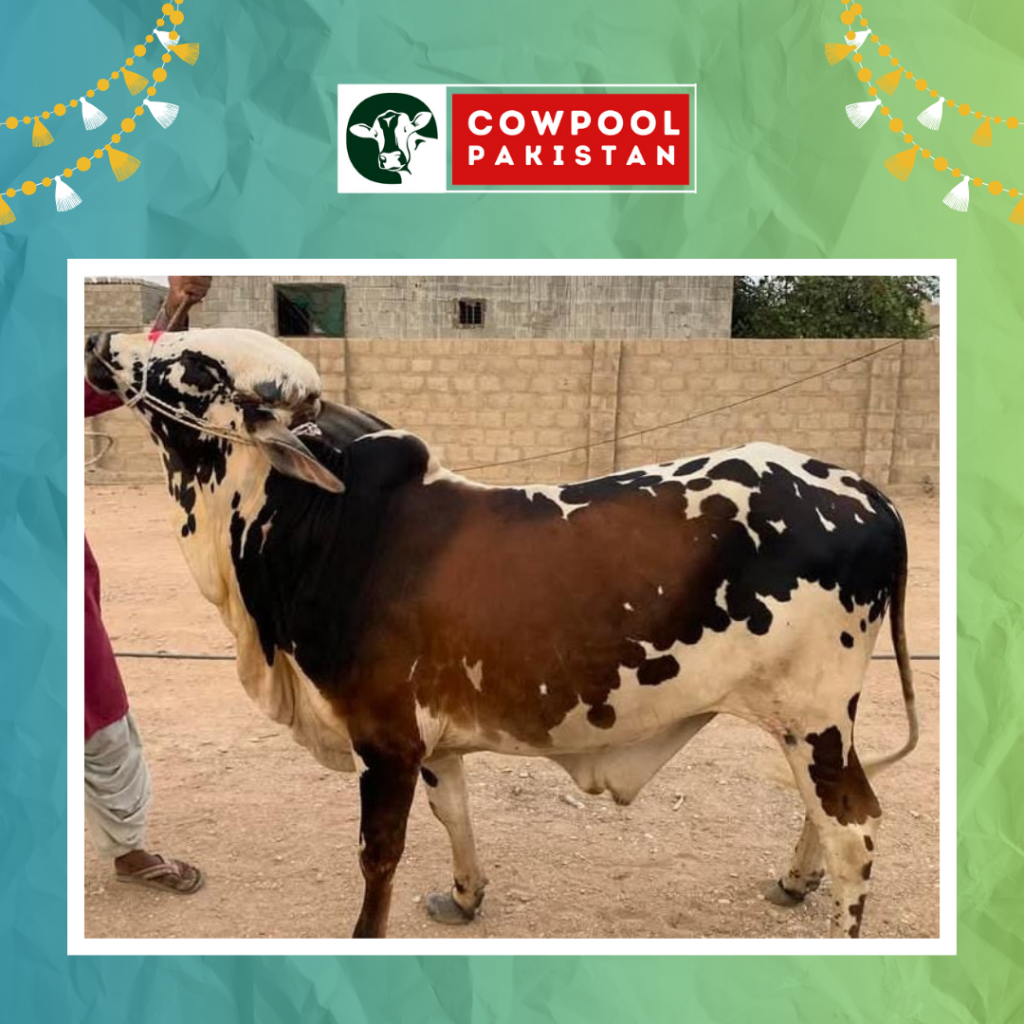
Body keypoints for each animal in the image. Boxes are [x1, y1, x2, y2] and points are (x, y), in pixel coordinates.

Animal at [84, 328, 919, 939]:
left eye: (195, 368)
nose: (100, 339)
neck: (319, 528)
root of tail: (870, 494)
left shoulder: (383, 740)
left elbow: (378, 858)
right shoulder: (430, 740)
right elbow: (452, 812)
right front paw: (465, 897)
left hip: (813, 715)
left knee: (854, 828)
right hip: (808, 722)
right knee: (826, 811)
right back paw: (794, 881)